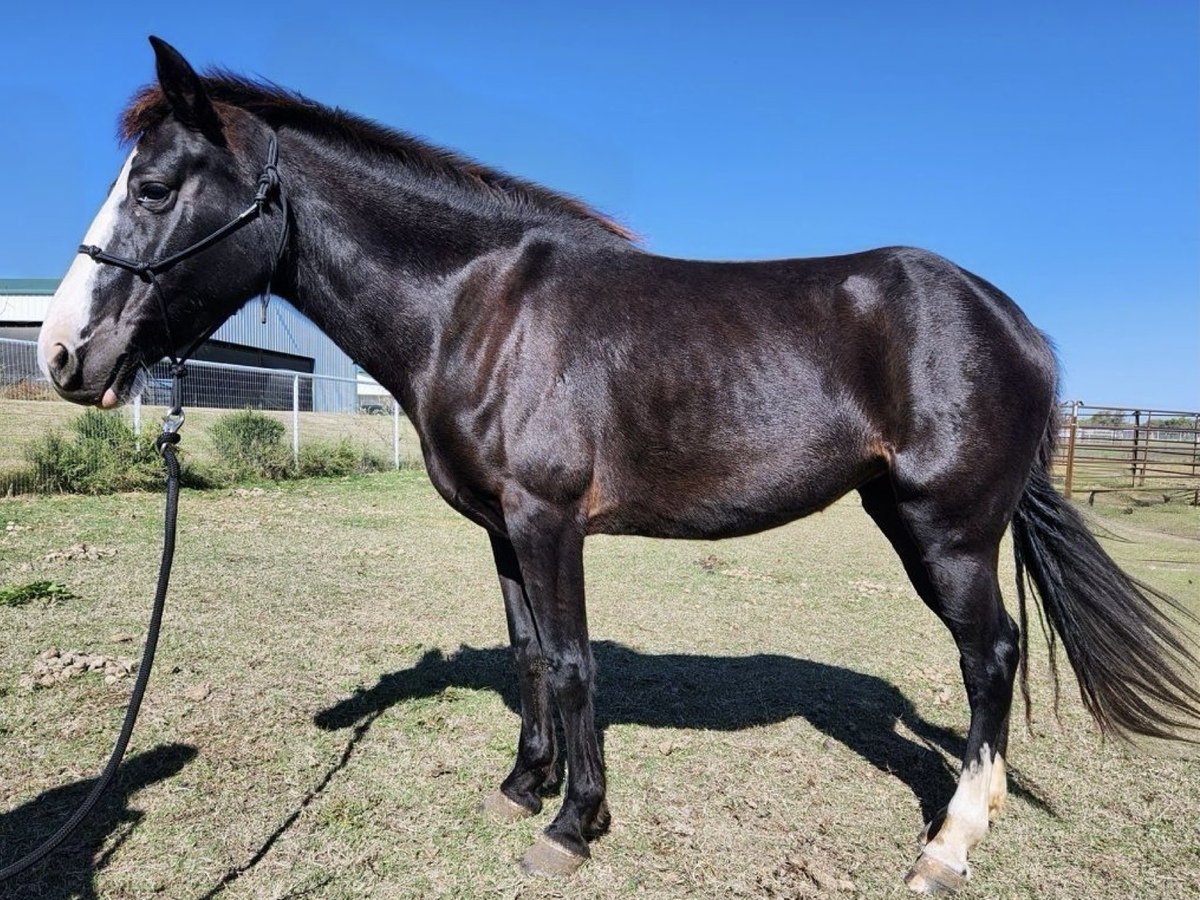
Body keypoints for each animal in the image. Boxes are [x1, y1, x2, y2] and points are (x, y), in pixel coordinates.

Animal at [38, 37, 1200, 893]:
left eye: (154, 185)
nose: (59, 353)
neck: (479, 306)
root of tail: (1012, 322)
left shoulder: (549, 519)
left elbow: (573, 661)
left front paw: (572, 824)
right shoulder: (502, 529)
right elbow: (528, 657)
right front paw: (523, 783)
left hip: (946, 533)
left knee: (990, 656)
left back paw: (949, 843)